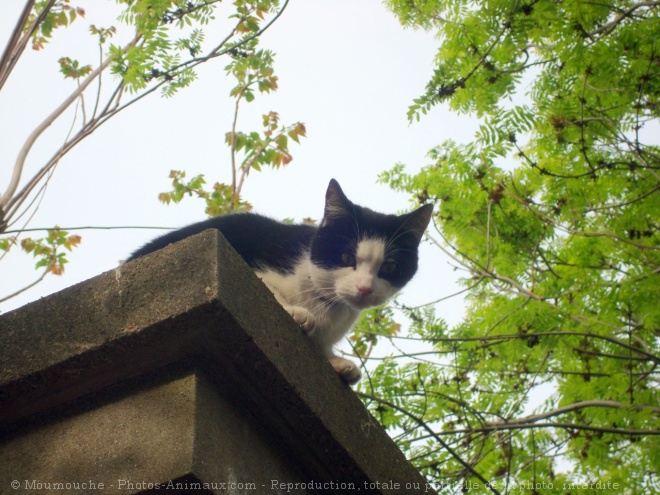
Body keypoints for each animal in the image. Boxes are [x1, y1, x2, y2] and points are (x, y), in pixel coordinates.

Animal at [127, 180, 434, 386]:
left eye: (389, 267)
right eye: (346, 257)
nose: (364, 288)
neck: (326, 302)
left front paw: (336, 362)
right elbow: (265, 285)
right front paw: (297, 313)